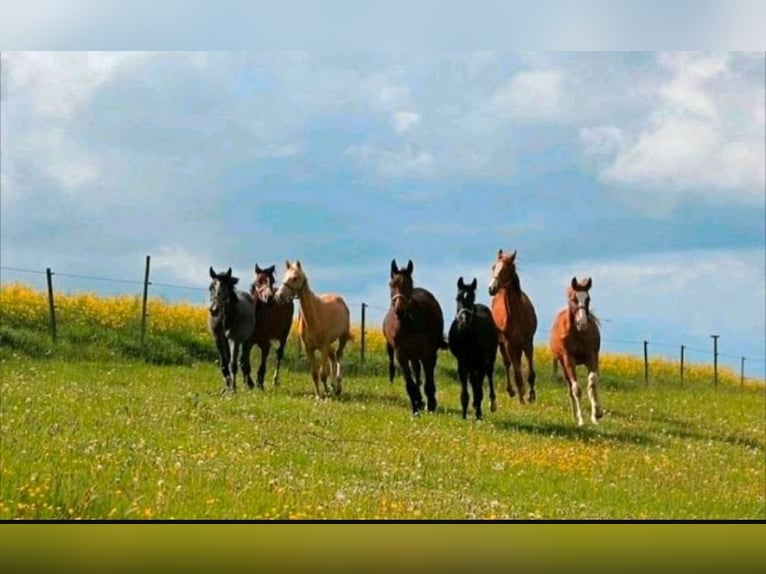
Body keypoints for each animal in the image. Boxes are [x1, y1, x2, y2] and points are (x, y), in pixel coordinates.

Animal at [274, 260, 353, 399]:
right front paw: (318, 395)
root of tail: (340, 300)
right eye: (284, 276)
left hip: (342, 338)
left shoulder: (322, 347)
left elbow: (323, 374)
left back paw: (337, 386)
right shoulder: (309, 348)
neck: (314, 316)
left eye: (295, 278)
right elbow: (315, 374)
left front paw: (326, 393)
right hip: (328, 344)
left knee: (338, 356)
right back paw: (333, 386)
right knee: (333, 357)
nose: (279, 296)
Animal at [382, 259, 448, 415]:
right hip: (413, 355)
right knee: (416, 373)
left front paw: (431, 405)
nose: (399, 310)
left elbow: (429, 381)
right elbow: (410, 384)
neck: (410, 323)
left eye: (409, 284)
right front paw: (415, 409)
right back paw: (419, 400)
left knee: (421, 374)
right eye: (391, 284)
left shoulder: (429, 353)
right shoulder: (401, 355)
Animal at [448, 277, 498, 420]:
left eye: (472, 298)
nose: (464, 321)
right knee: (473, 380)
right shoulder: (462, 361)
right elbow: (466, 388)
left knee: (489, 375)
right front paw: (464, 414)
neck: (467, 336)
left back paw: (491, 403)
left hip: (490, 358)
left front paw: (479, 415)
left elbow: (480, 389)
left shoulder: (481, 362)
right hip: (471, 363)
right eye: (457, 298)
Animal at [488, 249, 538, 404]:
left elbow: (530, 372)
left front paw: (531, 396)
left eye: (506, 269)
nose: (491, 288)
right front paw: (521, 397)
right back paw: (512, 391)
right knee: (507, 364)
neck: (518, 315)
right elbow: (516, 371)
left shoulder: (528, 342)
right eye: (493, 267)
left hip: (519, 345)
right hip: (503, 343)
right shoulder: (509, 343)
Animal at [549, 277, 603, 426]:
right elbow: (576, 389)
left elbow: (592, 382)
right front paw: (581, 420)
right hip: (563, 364)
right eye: (574, 299)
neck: (577, 333)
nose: (582, 323)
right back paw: (574, 416)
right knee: (569, 388)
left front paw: (596, 414)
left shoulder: (591, 356)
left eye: (588, 299)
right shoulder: (569, 360)